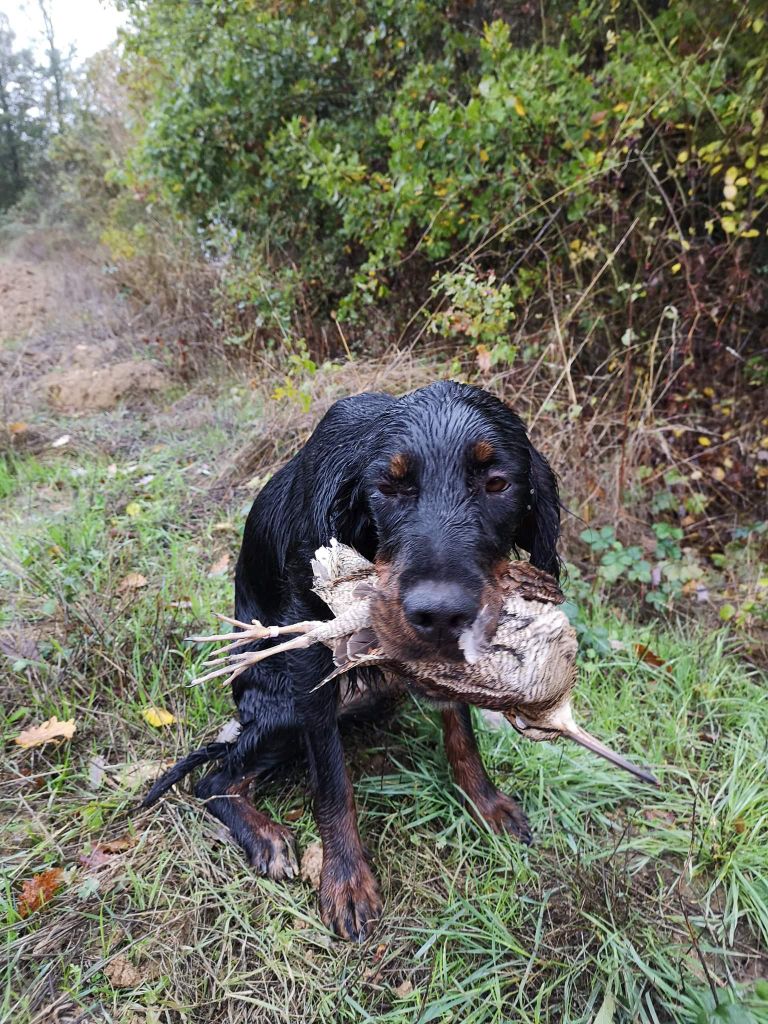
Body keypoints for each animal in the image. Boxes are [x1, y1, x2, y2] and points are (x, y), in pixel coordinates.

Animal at [143, 380, 561, 937]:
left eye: (498, 484)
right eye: (390, 487)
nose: (439, 613)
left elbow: (462, 732)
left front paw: (485, 802)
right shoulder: (310, 656)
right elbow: (332, 781)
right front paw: (345, 880)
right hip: (283, 708)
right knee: (212, 780)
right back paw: (264, 836)